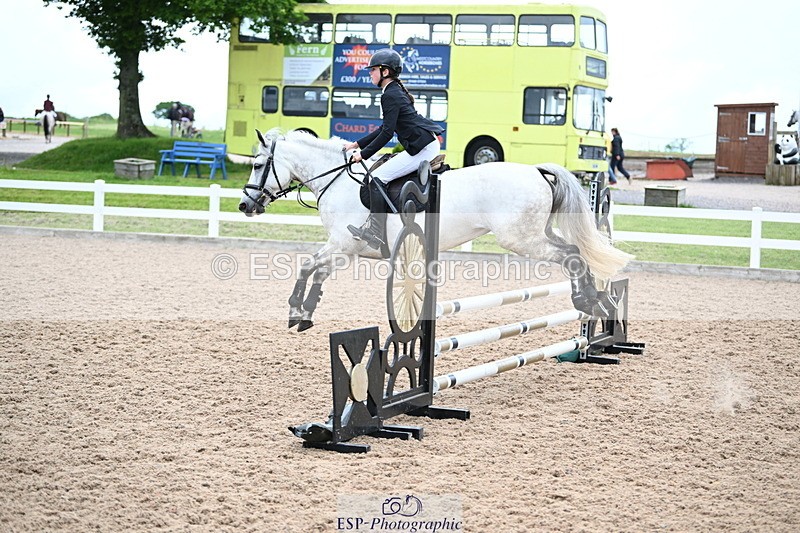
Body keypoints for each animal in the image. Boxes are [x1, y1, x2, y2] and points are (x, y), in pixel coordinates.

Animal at [238, 129, 632, 331]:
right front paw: (305, 312)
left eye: (257, 164)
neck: (336, 181)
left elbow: (308, 265)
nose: (245, 205)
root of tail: (536, 170)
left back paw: (588, 300)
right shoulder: (346, 249)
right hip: (537, 234)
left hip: (522, 239)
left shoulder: (342, 243)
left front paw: (295, 309)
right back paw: (595, 300)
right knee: (576, 253)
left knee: (572, 256)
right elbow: (317, 270)